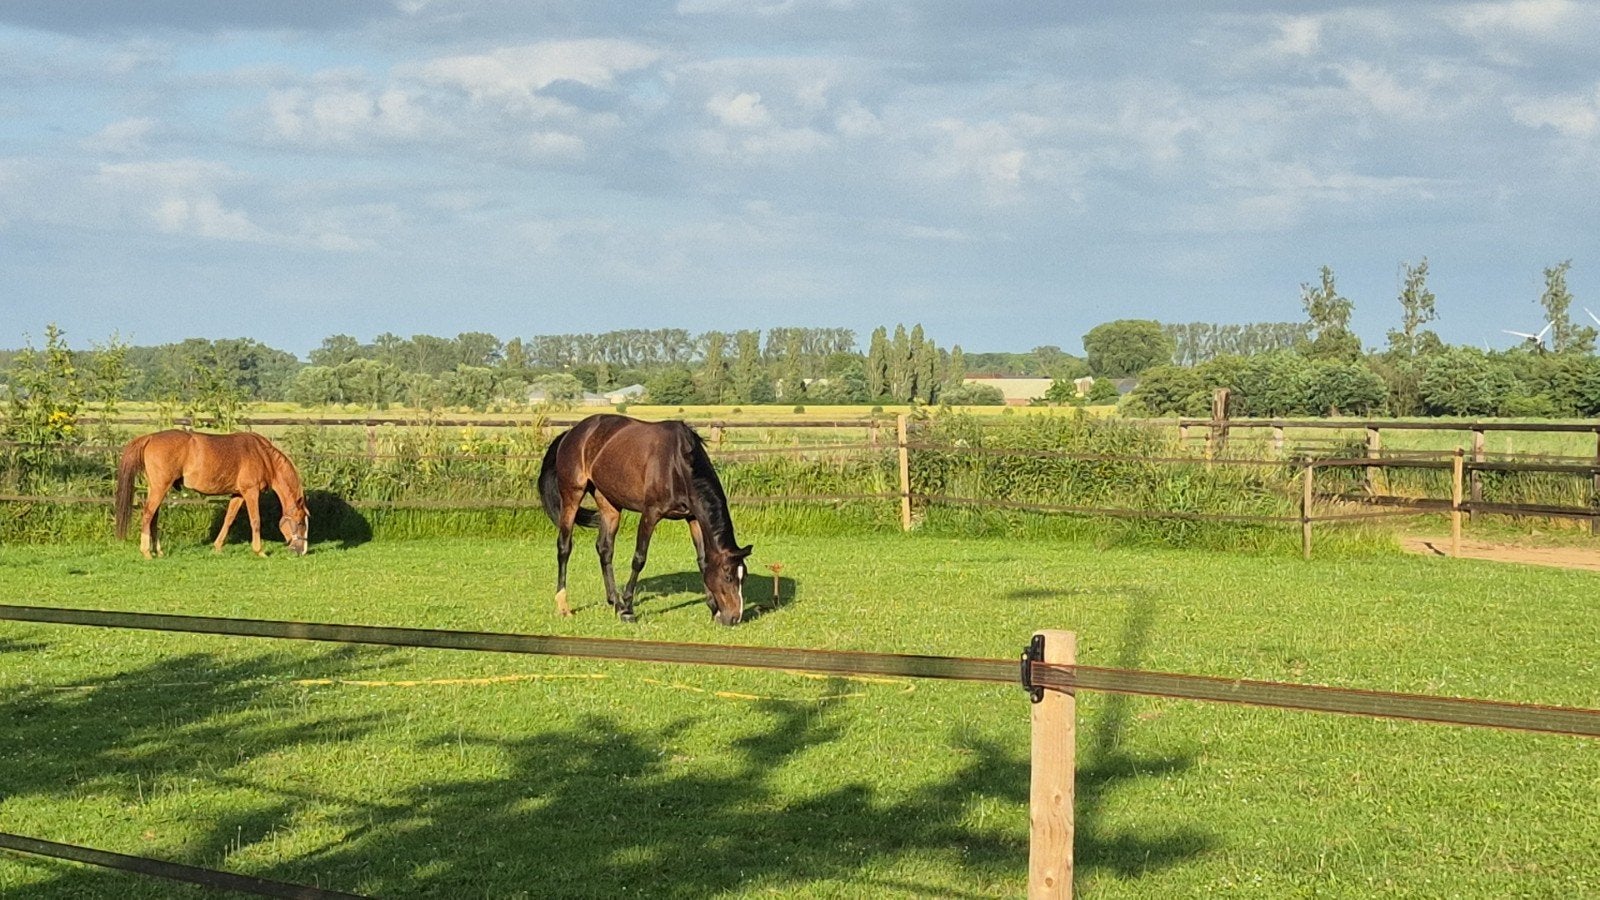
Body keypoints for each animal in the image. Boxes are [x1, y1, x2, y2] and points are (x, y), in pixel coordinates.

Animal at [114, 430, 310, 559]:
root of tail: (150, 437)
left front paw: (217, 546)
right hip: (160, 487)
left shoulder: (238, 495)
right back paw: (147, 552)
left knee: (153, 517)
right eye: (300, 522)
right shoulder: (251, 492)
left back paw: (158, 551)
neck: (263, 455)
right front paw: (259, 551)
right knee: (148, 515)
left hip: (155, 488)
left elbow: (228, 519)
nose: (302, 551)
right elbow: (255, 521)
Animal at [538, 414, 752, 625]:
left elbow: (702, 560)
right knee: (564, 547)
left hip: (609, 503)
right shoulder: (650, 513)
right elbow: (639, 558)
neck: (677, 464)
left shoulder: (693, 517)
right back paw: (564, 606)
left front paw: (713, 608)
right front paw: (628, 609)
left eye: (744, 577)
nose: (734, 618)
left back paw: (614, 601)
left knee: (605, 549)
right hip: (572, 496)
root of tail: (571, 432)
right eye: (728, 576)